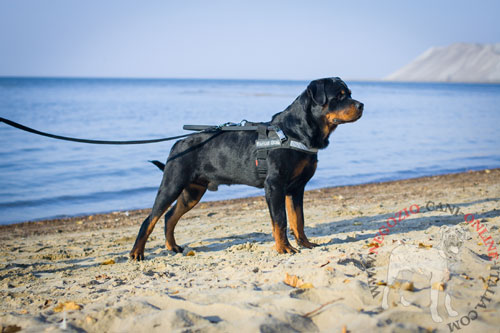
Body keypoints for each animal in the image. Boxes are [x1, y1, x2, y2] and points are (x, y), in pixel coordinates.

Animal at [129, 78, 364, 260]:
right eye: (339, 96)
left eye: (349, 94)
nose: (361, 105)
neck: (296, 132)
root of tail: (178, 143)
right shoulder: (275, 186)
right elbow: (281, 220)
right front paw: (284, 248)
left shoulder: (296, 189)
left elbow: (298, 220)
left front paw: (305, 244)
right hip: (173, 183)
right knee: (149, 219)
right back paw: (137, 253)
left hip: (193, 191)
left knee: (169, 216)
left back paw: (172, 246)